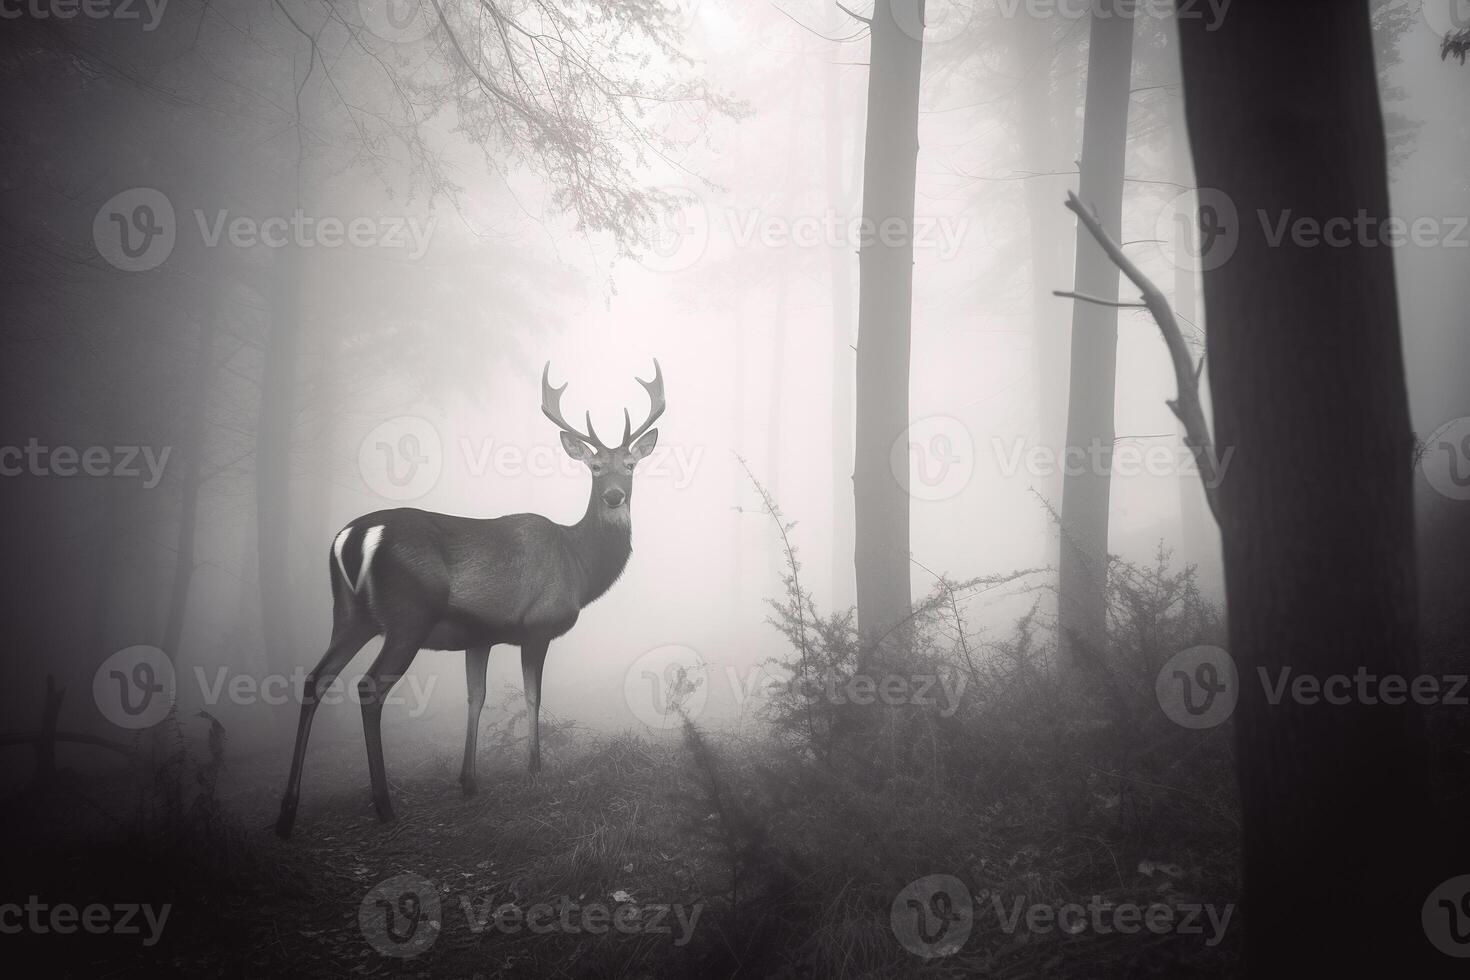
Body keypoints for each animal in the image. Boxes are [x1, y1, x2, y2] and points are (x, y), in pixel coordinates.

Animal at [276, 359, 667, 834]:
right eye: (594, 468)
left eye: (630, 465)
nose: (614, 495)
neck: (579, 566)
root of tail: (352, 536)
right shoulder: (536, 625)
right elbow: (533, 696)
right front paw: (534, 769)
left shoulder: (479, 636)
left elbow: (475, 698)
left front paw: (468, 781)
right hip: (407, 617)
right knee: (369, 688)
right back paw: (384, 804)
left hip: (350, 614)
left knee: (315, 680)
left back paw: (287, 811)